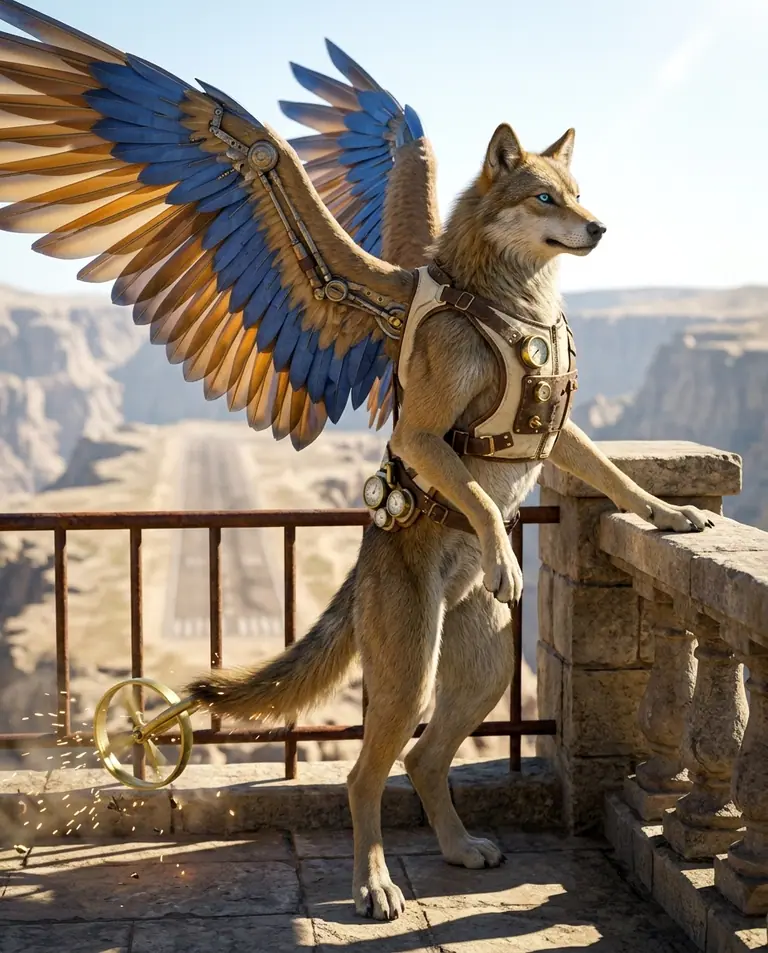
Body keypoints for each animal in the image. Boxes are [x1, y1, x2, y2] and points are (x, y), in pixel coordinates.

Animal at [188, 123, 714, 919]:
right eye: (544, 197)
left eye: (578, 193)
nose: (599, 228)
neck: (515, 298)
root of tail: (363, 572)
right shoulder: (420, 437)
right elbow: (483, 502)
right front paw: (504, 555)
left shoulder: (560, 432)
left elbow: (618, 478)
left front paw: (672, 512)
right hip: (410, 678)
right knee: (366, 777)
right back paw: (373, 884)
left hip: (486, 672)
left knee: (424, 759)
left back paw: (460, 848)